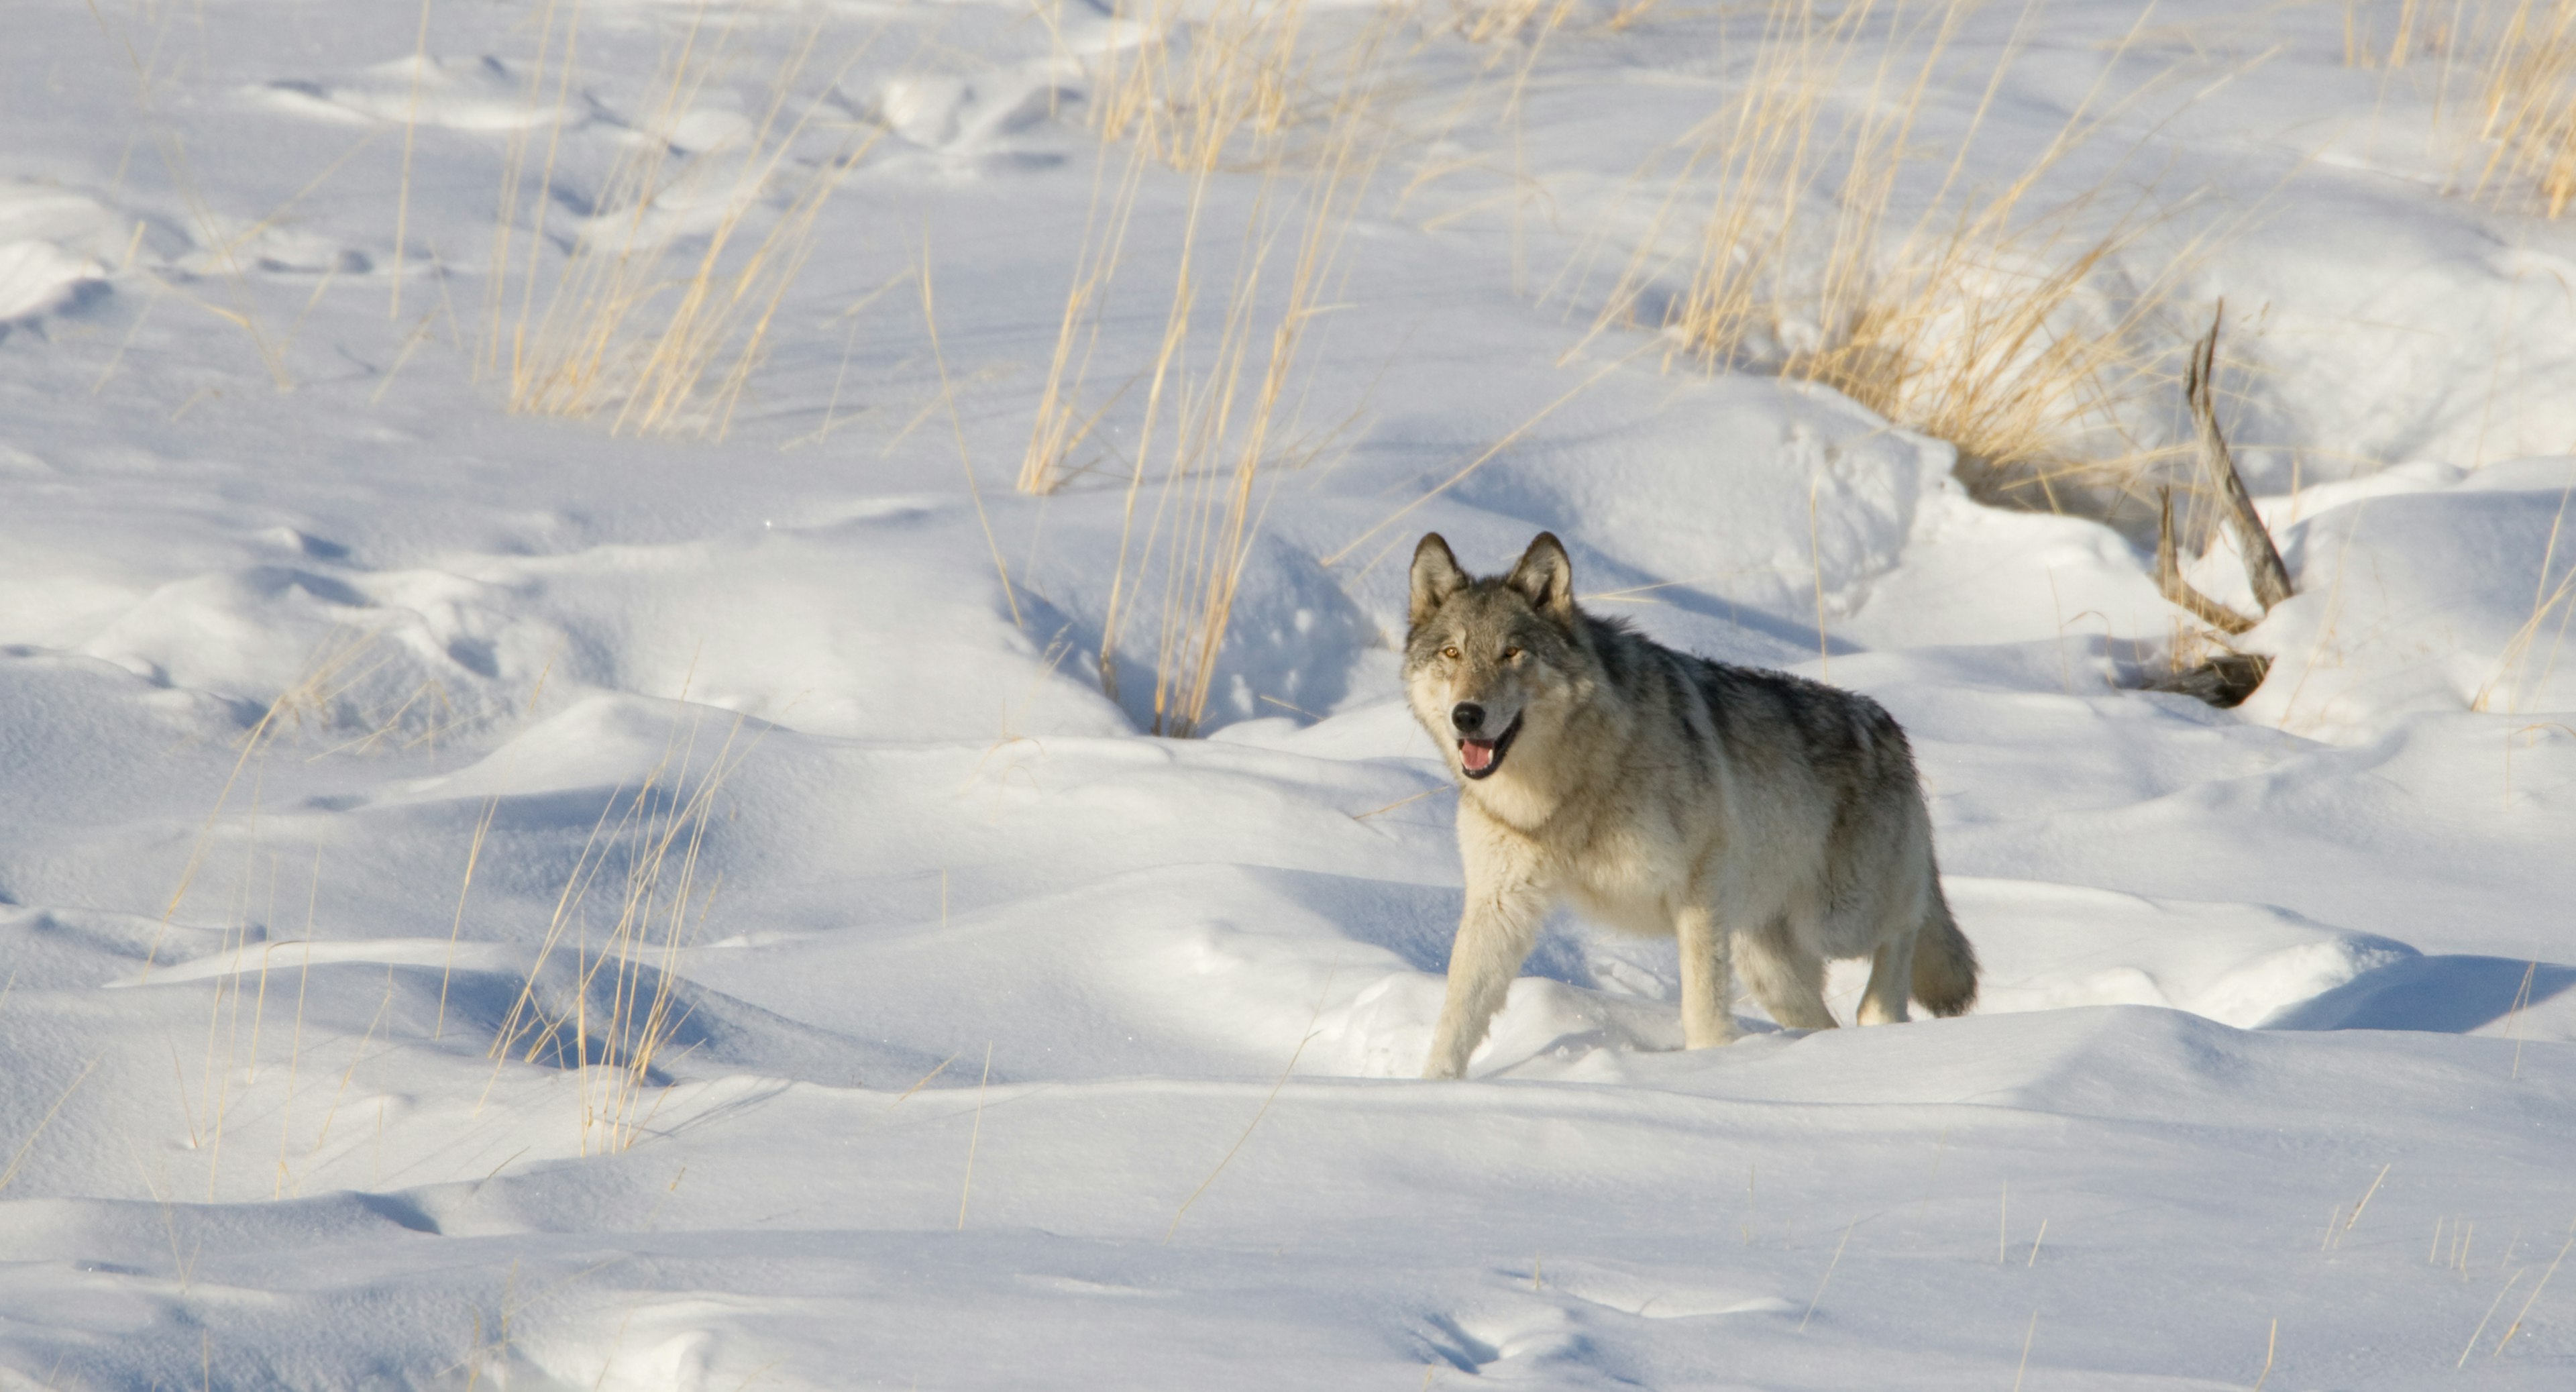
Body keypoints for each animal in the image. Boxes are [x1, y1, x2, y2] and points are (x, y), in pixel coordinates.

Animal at [1411, 528, 1968, 1082]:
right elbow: (1457, 1015)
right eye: (1452, 652)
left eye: (1512, 652)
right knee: (1825, 1019)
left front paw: (1710, 1062)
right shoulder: (1498, 904)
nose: (1467, 715)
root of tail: (1888, 725)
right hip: (1771, 967)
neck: (1567, 785)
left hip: (1838, 919)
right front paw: (1433, 1086)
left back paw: (1880, 1019)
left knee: (1907, 923)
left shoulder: (1699, 889)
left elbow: (1701, 1002)